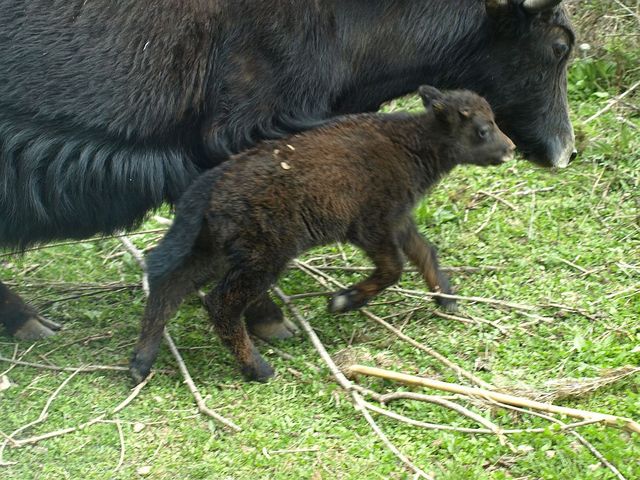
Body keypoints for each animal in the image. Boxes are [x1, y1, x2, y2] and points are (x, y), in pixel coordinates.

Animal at [129, 86, 516, 384]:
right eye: (483, 129)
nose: (510, 148)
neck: (408, 143)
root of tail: (209, 189)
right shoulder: (371, 225)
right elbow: (394, 268)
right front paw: (342, 301)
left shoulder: (397, 219)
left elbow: (424, 252)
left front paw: (446, 298)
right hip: (262, 256)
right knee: (219, 302)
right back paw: (258, 369)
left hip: (215, 249)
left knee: (170, 283)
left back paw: (140, 363)